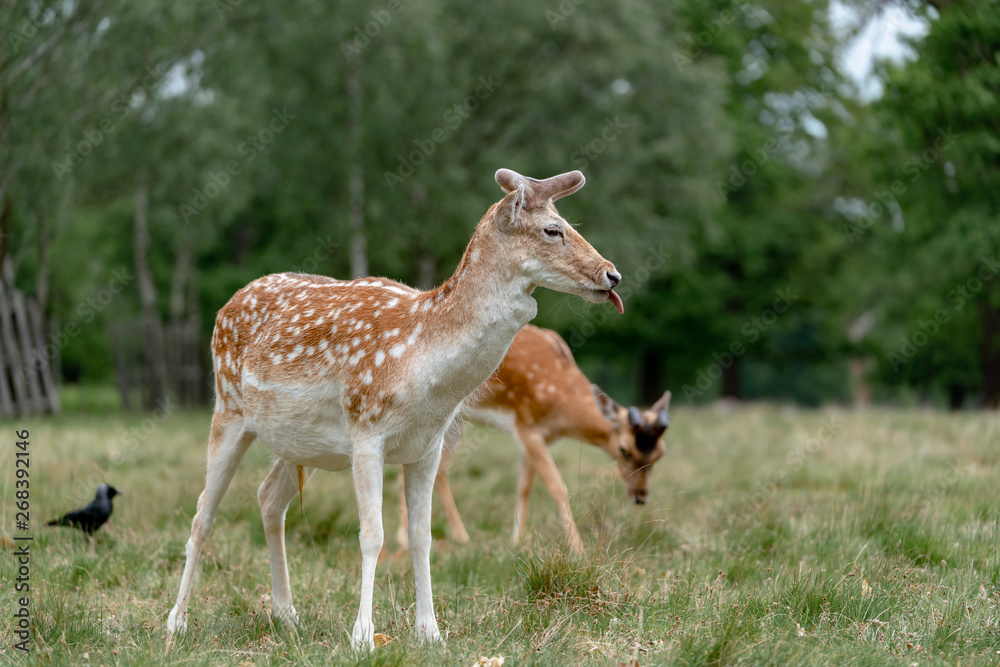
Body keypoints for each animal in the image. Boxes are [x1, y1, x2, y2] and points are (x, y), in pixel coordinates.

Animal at [165, 170, 620, 648]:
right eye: (553, 229)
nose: (612, 274)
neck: (425, 365)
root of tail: (225, 307)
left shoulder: (428, 446)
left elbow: (422, 537)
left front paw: (431, 632)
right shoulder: (367, 430)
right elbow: (373, 535)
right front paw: (363, 636)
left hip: (299, 444)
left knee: (269, 499)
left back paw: (286, 615)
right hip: (228, 408)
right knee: (203, 513)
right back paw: (177, 621)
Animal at [394, 326, 668, 556]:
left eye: (660, 454)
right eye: (624, 450)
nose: (641, 496)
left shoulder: (538, 437)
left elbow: (524, 486)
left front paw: (516, 541)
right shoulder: (527, 427)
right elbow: (557, 485)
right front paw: (578, 549)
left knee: (438, 470)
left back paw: (460, 536)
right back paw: (406, 541)